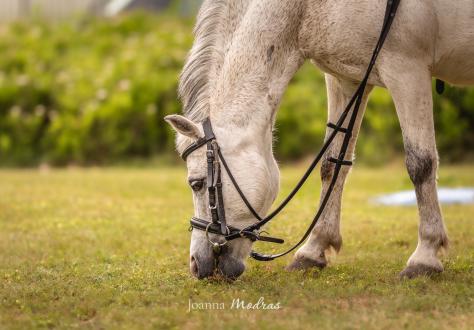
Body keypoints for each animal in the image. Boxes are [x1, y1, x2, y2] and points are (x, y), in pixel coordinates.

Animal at [166, 0, 474, 280]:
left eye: (196, 184)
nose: (196, 264)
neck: (304, 7)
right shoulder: (346, 78)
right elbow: (332, 165)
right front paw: (313, 251)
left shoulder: (407, 70)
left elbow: (420, 164)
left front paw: (425, 257)